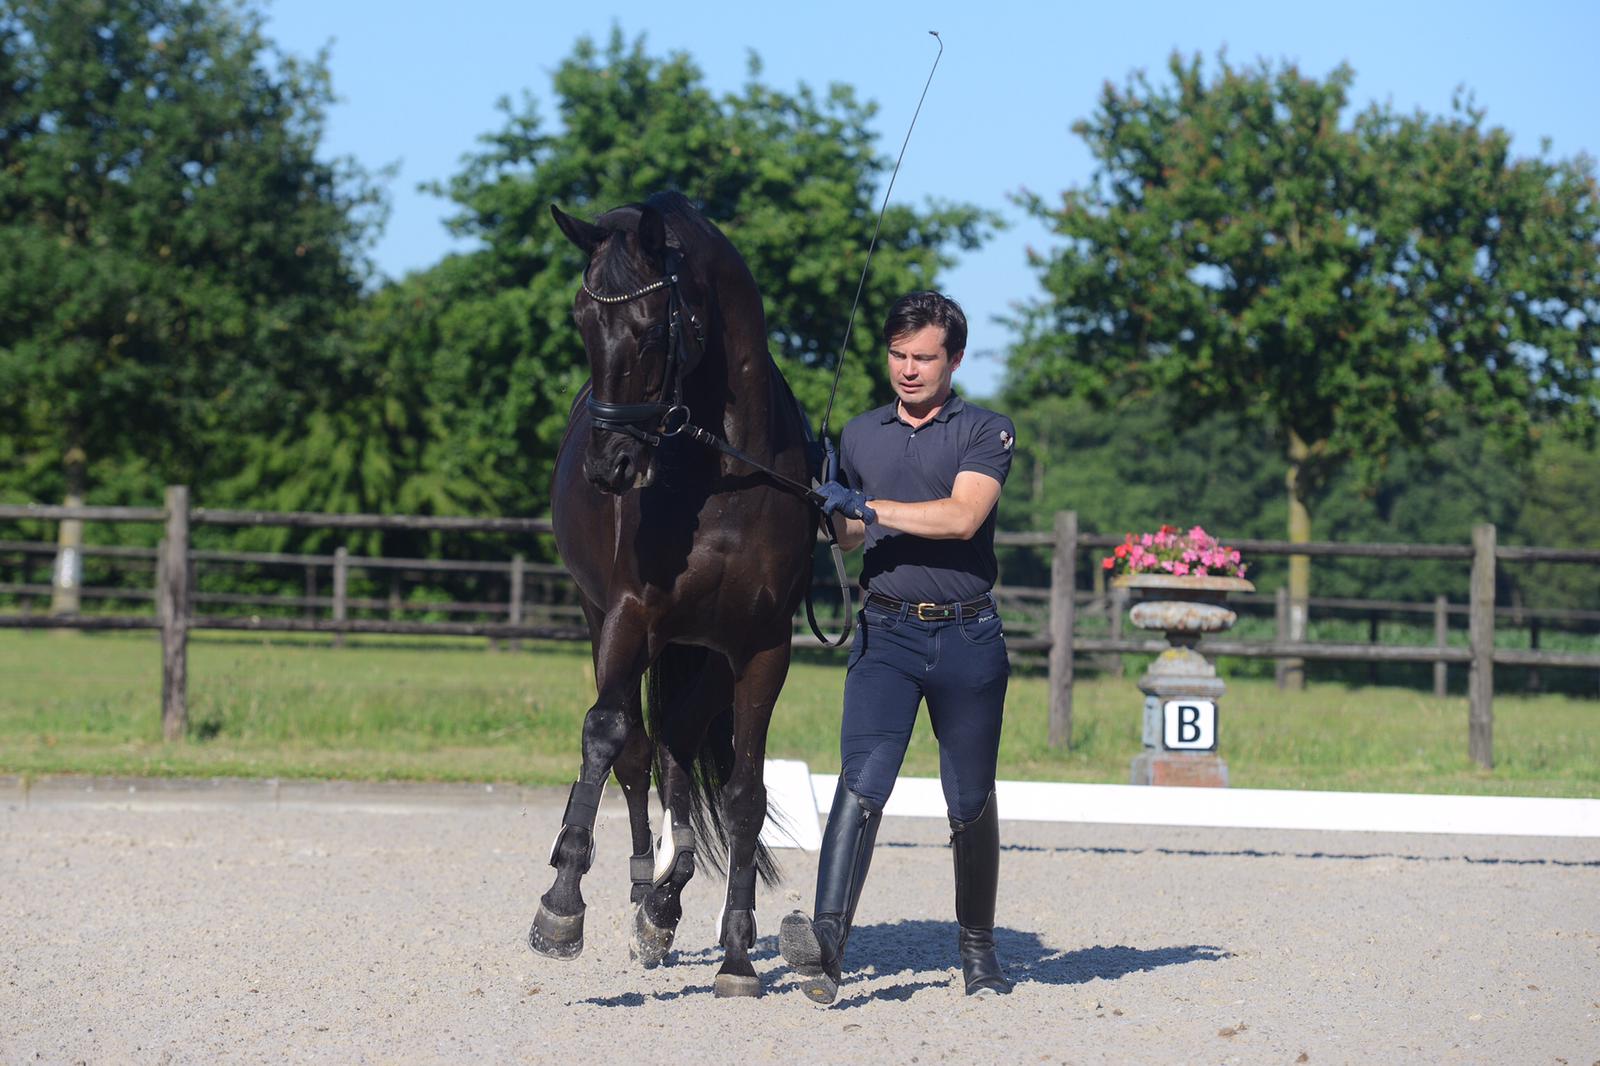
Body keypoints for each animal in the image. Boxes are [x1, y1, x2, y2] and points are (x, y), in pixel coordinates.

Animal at [531, 192, 819, 998]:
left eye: (651, 323)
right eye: (580, 318)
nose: (609, 467)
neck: (727, 472)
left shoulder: (761, 648)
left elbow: (747, 793)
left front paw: (738, 956)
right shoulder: (632, 616)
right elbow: (606, 735)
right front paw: (561, 908)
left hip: (704, 654)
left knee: (677, 748)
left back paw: (664, 902)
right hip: (611, 623)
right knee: (636, 750)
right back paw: (638, 891)